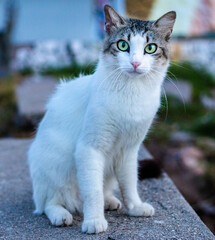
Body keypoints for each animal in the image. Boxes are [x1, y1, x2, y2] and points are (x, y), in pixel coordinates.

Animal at [28, 4, 176, 234]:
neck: (131, 93)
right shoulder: (89, 148)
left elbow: (129, 183)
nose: (135, 63)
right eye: (123, 45)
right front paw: (94, 221)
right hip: (52, 166)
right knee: (49, 202)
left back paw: (110, 201)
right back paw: (61, 215)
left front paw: (134, 207)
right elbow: (93, 192)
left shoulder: (129, 150)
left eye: (150, 48)